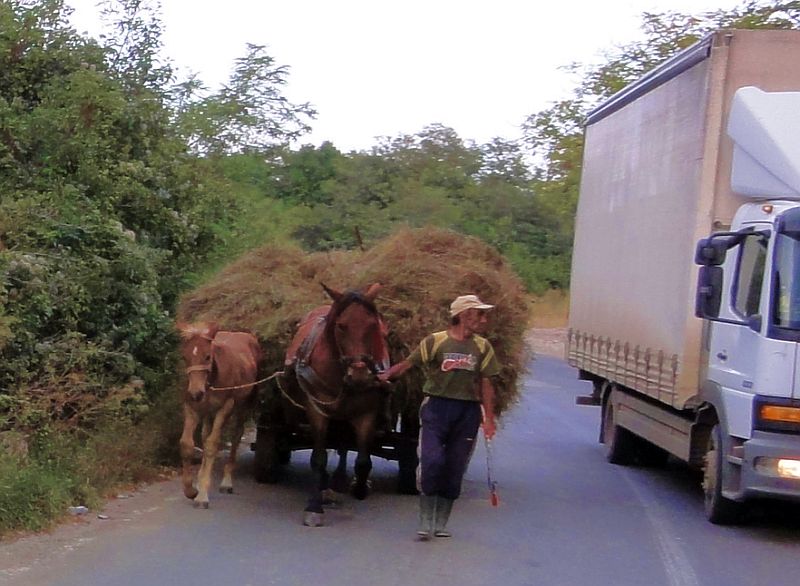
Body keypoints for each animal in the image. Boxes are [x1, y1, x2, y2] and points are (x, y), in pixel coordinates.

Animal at [177, 320, 260, 506]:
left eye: (208, 356)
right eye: (185, 357)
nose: (196, 393)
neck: (210, 381)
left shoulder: (226, 408)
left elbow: (212, 444)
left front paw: (202, 495)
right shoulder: (192, 408)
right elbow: (187, 444)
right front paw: (191, 489)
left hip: (243, 406)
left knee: (236, 436)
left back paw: (226, 482)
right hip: (208, 412)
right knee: (205, 433)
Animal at [282, 282, 390, 524]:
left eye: (373, 325)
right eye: (341, 326)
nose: (360, 375)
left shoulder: (366, 413)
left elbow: (363, 460)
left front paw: (360, 487)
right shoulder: (316, 410)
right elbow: (319, 458)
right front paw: (314, 507)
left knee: (344, 443)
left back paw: (339, 481)